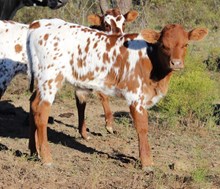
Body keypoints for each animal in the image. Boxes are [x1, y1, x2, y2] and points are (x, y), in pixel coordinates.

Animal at [26, 18, 207, 168]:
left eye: (185, 44)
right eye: (163, 45)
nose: (176, 63)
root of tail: (38, 24)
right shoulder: (135, 96)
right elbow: (142, 127)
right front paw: (147, 162)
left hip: (41, 81)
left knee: (33, 104)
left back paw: (34, 151)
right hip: (50, 79)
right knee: (41, 112)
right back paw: (47, 158)